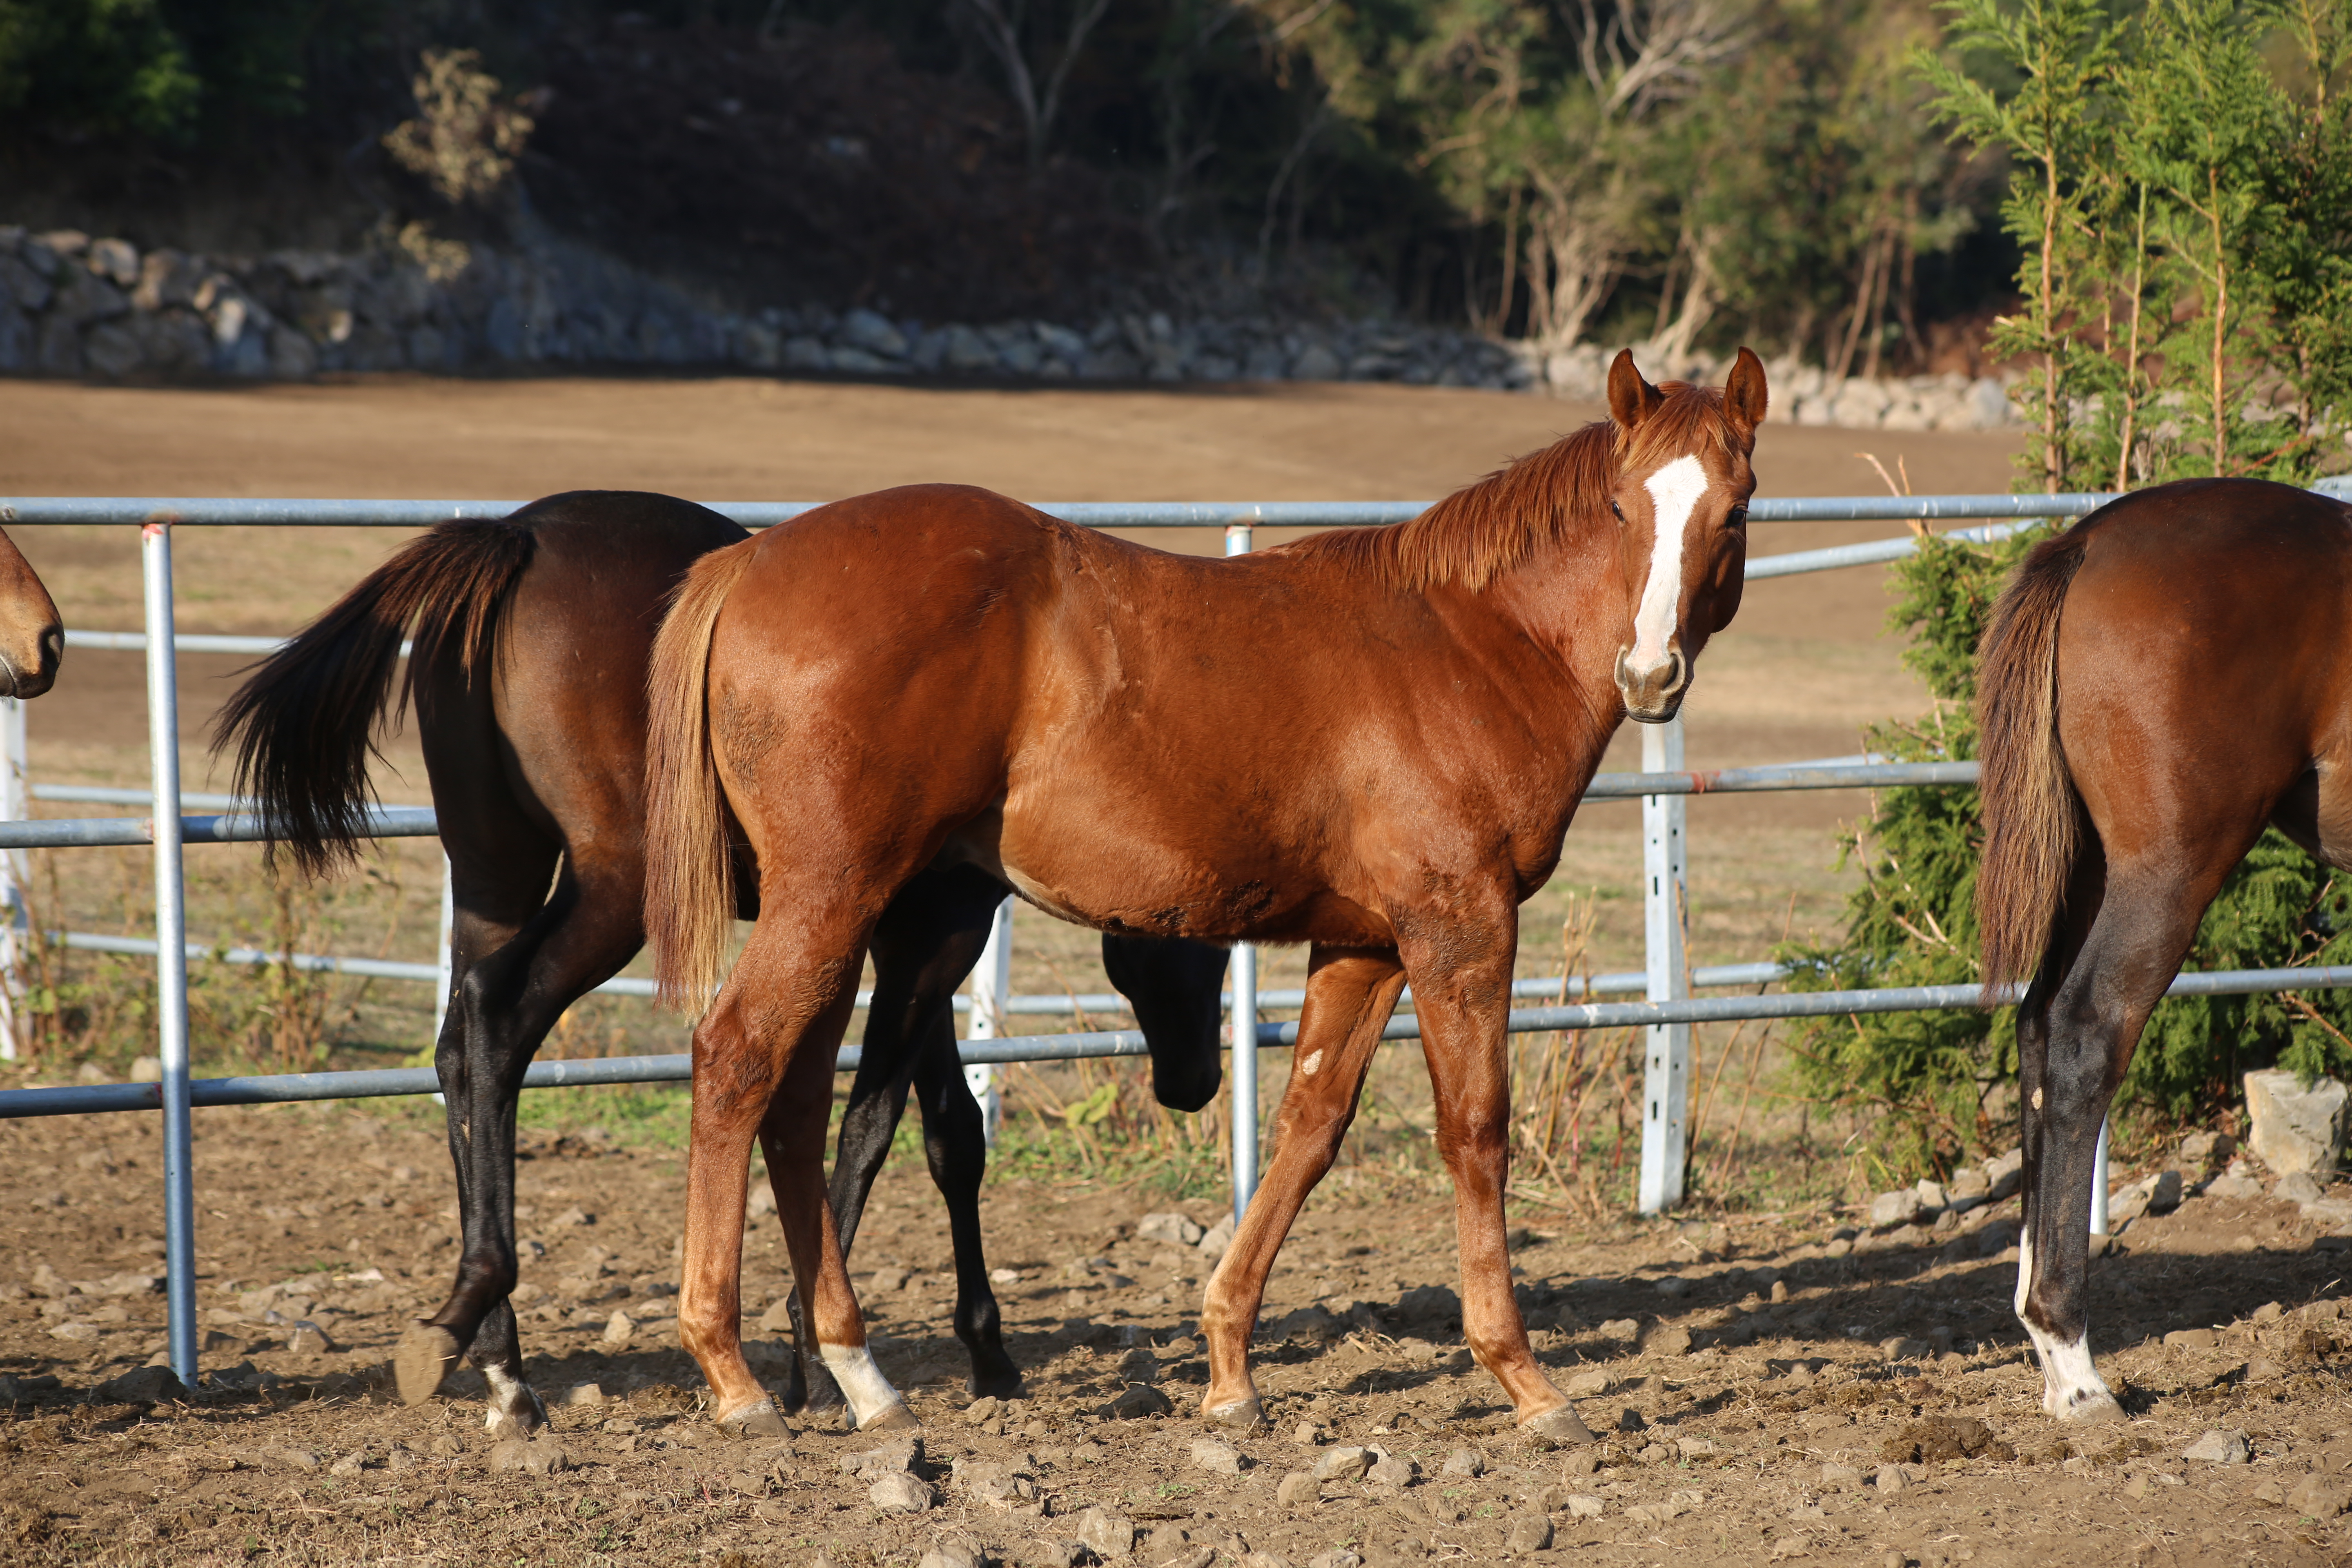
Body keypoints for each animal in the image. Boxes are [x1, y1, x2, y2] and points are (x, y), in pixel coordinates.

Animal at [218, 493, 1232, 1439]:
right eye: (1201, 937)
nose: (1193, 1085)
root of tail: (518, 536)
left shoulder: (895, 943)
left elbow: (946, 1133)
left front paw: (963, 1351)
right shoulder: (931, 943)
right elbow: (879, 1131)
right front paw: (833, 1358)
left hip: (491, 874)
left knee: (461, 1047)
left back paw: (495, 1359)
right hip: (616, 889)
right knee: (500, 1025)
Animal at [644, 350, 1768, 1439]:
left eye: (1734, 508)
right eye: (1622, 507)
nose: (1649, 674)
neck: (1472, 643)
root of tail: (751, 562)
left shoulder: (1365, 944)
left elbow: (1310, 1126)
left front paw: (1229, 1367)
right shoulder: (1460, 927)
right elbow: (1475, 1128)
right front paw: (1525, 1380)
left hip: (846, 915)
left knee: (793, 1102)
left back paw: (857, 1374)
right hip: (833, 901)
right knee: (736, 1058)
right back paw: (738, 1375)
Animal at [1985, 479, 2352, 1420]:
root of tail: (2087, 542)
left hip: (2095, 869)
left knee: (2038, 1029)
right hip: (2167, 870)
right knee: (2086, 1035)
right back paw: (2075, 1365)